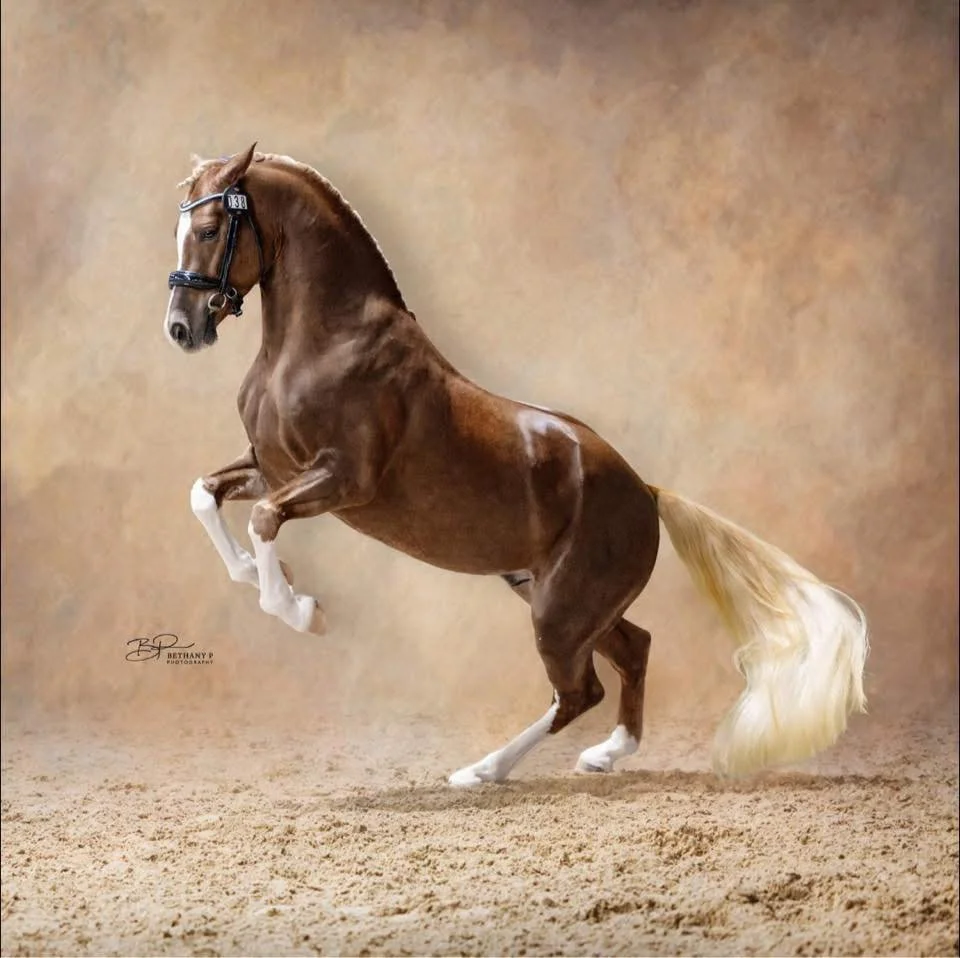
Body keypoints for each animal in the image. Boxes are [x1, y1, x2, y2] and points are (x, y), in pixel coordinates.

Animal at [164, 144, 868, 786]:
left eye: (209, 229)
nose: (181, 328)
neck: (323, 343)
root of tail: (646, 490)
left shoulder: (342, 479)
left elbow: (261, 518)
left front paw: (302, 611)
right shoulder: (273, 467)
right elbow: (205, 495)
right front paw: (260, 576)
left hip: (560, 611)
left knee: (578, 691)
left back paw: (482, 771)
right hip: (559, 597)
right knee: (632, 651)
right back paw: (604, 756)